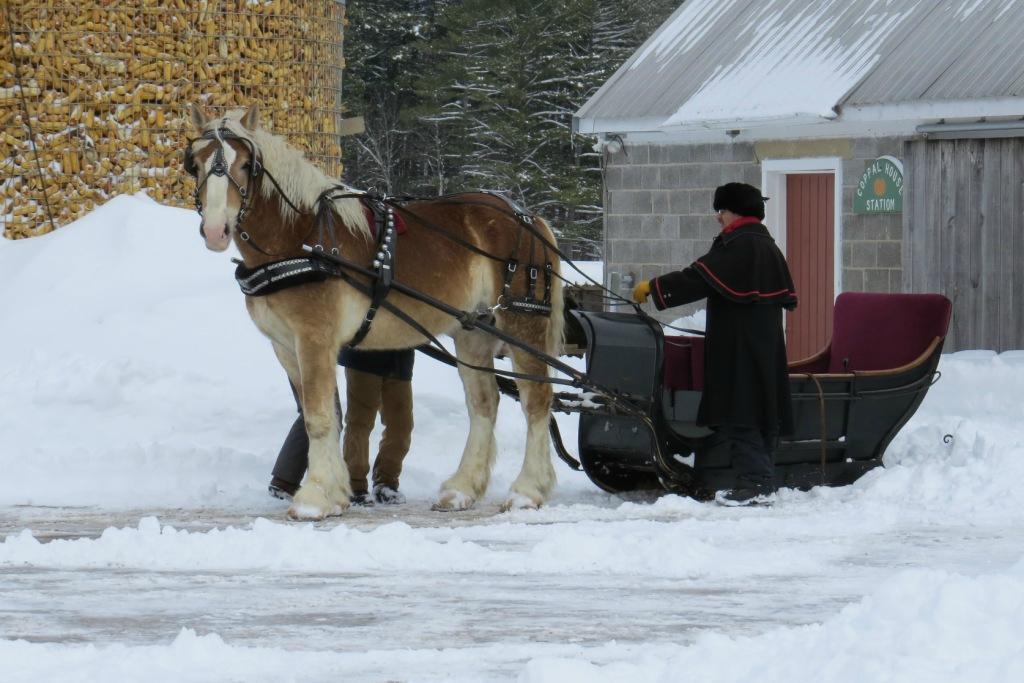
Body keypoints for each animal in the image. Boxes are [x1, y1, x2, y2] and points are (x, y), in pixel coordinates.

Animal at [188, 102, 565, 518]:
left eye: (245, 165)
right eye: (195, 163)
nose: (215, 230)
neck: (300, 239)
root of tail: (527, 216)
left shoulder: (314, 339)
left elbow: (318, 417)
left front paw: (313, 498)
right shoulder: (285, 346)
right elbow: (323, 414)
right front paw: (335, 493)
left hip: (522, 321)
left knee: (536, 402)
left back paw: (527, 490)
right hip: (474, 331)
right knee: (484, 403)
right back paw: (462, 488)